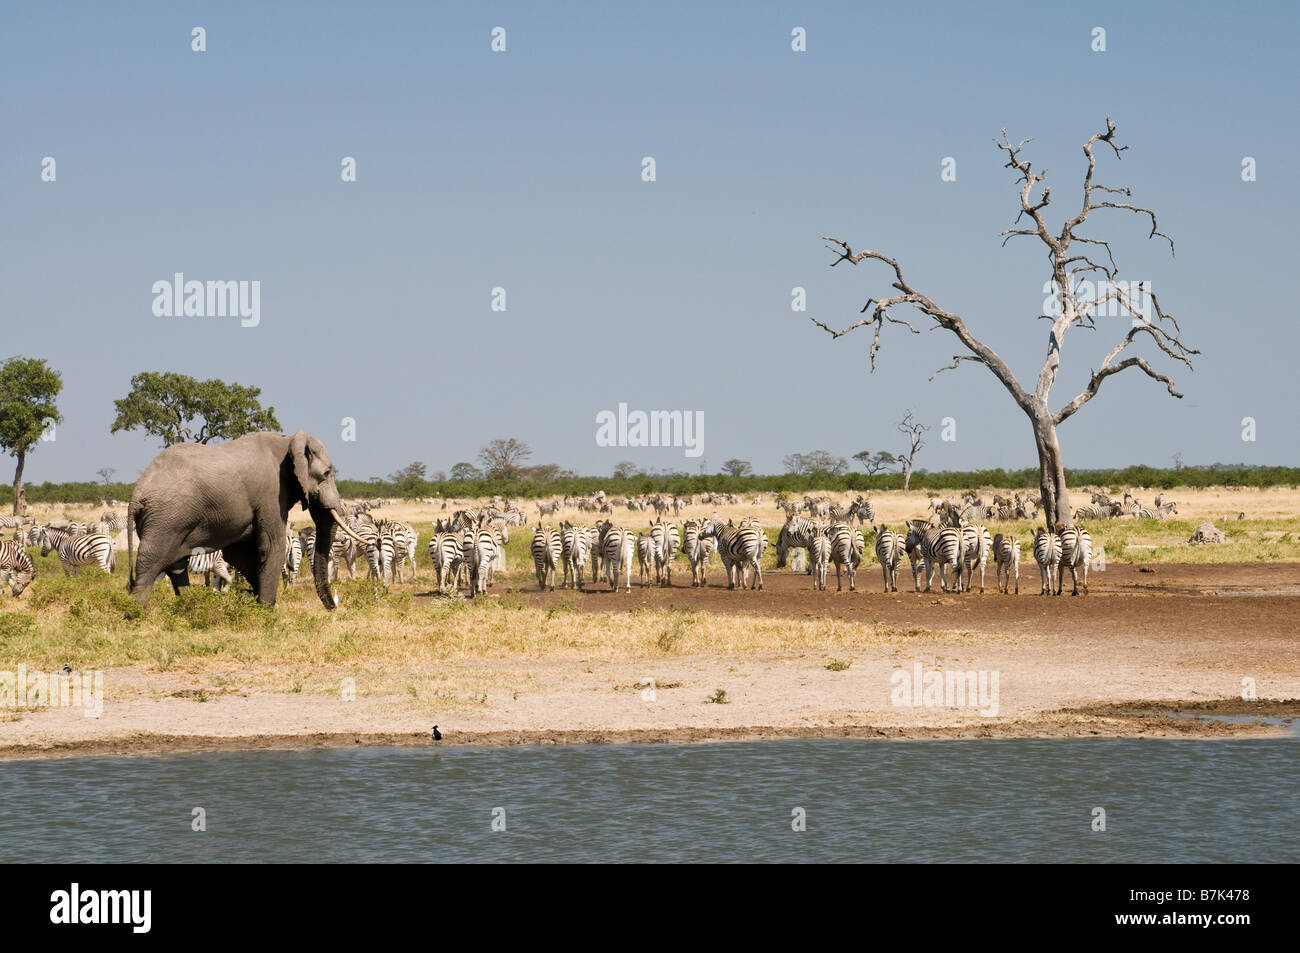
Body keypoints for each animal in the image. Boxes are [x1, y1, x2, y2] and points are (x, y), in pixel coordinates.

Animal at [126, 431, 369, 608]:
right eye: (327, 473)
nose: (334, 607)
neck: (288, 441)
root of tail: (136, 495)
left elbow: (241, 553)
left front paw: (251, 597)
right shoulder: (271, 493)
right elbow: (271, 547)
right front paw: (265, 612)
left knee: (175, 568)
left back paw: (188, 607)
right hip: (164, 520)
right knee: (149, 566)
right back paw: (136, 615)